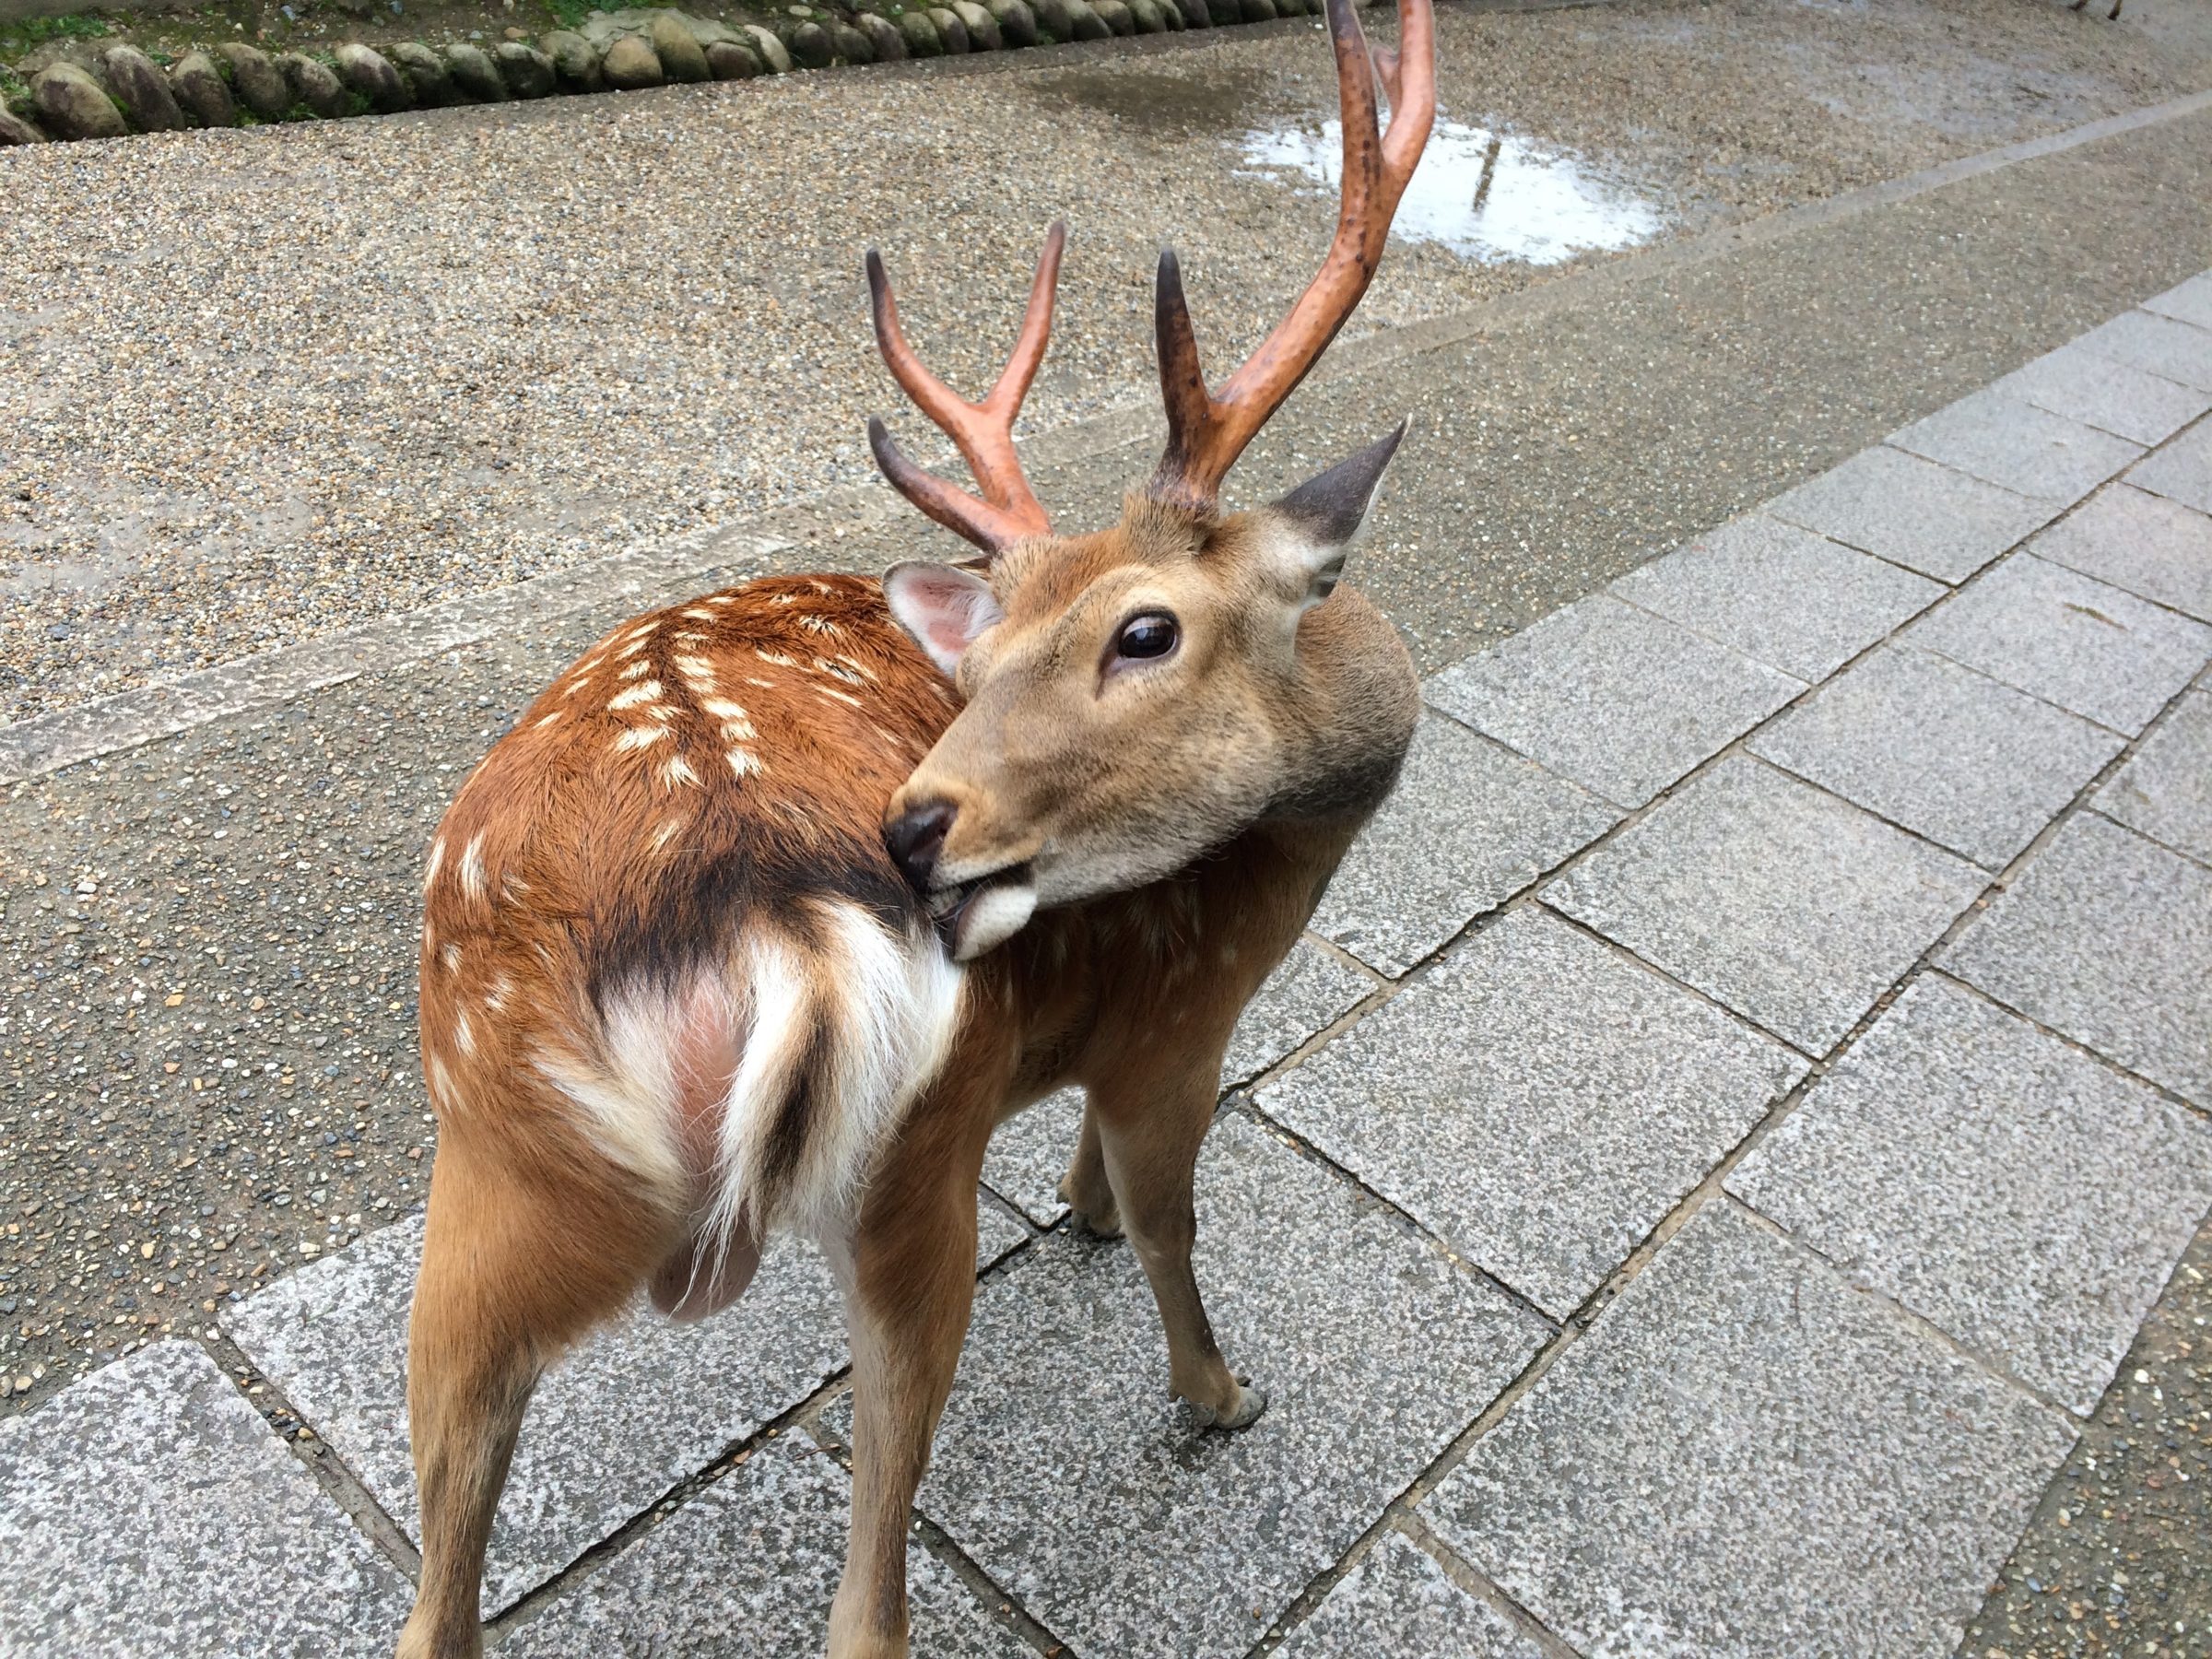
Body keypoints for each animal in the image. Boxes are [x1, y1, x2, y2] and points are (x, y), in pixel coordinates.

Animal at [397, 0, 1433, 1652]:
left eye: (1143, 633)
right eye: (996, 645)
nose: (919, 830)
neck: (1291, 860)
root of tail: (763, 911)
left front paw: (1075, 1212)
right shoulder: (1180, 1023)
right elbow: (1171, 1219)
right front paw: (1218, 1392)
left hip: (488, 1168)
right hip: (908, 1163)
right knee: (868, 1587)